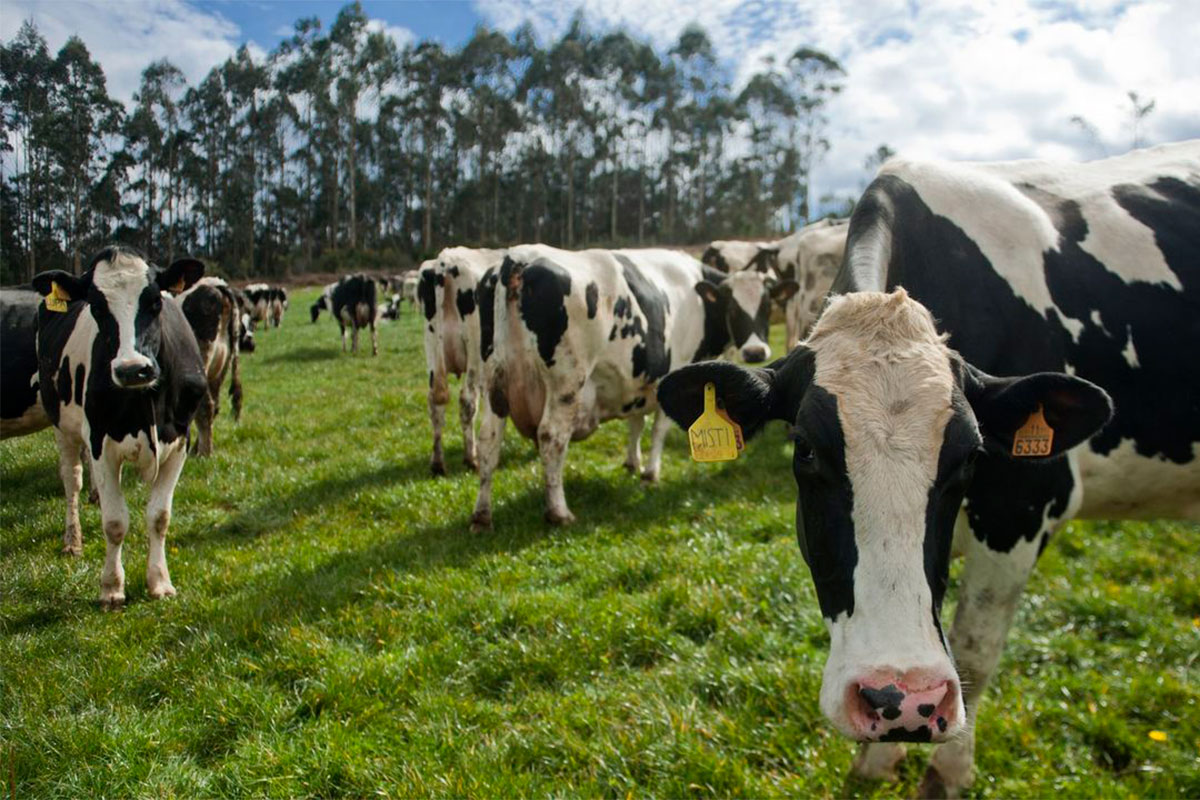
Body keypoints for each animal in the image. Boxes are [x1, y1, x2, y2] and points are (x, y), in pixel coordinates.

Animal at [32, 245, 207, 608]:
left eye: (155, 301)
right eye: (97, 306)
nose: (132, 369)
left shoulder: (179, 441)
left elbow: (159, 517)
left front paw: (160, 581)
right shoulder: (100, 441)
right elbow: (115, 522)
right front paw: (111, 587)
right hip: (63, 426)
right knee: (72, 481)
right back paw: (72, 539)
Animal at [419, 248, 504, 475]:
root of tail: (446, 261)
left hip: (433, 350)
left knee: (435, 402)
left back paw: (438, 463)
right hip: (474, 352)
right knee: (467, 400)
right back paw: (471, 458)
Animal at [470, 244, 793, 530]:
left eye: (766, 306)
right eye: (733, 308)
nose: (755, 352)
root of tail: (517, 258)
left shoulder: (638, 382)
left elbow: (636, 422)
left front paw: (631, 462)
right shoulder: (672, 374)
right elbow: (659, 428)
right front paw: (650, 474)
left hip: (494, 379)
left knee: (488, 440)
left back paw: (482, 515)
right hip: (566, 383)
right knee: (551, 438)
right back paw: (559, 512)